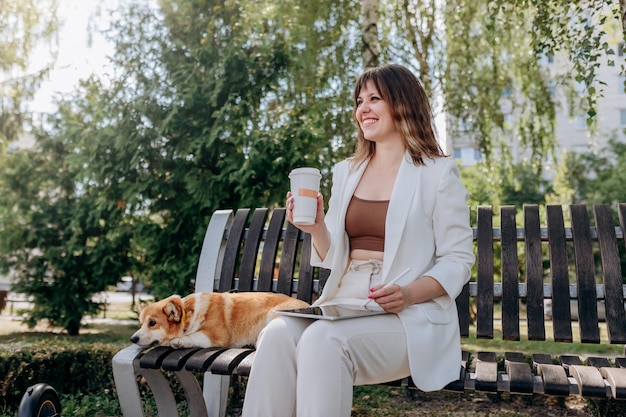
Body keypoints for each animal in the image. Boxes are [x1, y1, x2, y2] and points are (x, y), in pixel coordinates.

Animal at [130, 292, 310, 348]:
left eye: (152, 323)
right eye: (141, 323)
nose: (133, 339)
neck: (189, 314)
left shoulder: (215, 335)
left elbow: (194, 336)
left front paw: (179, 341)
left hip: (273, 316)